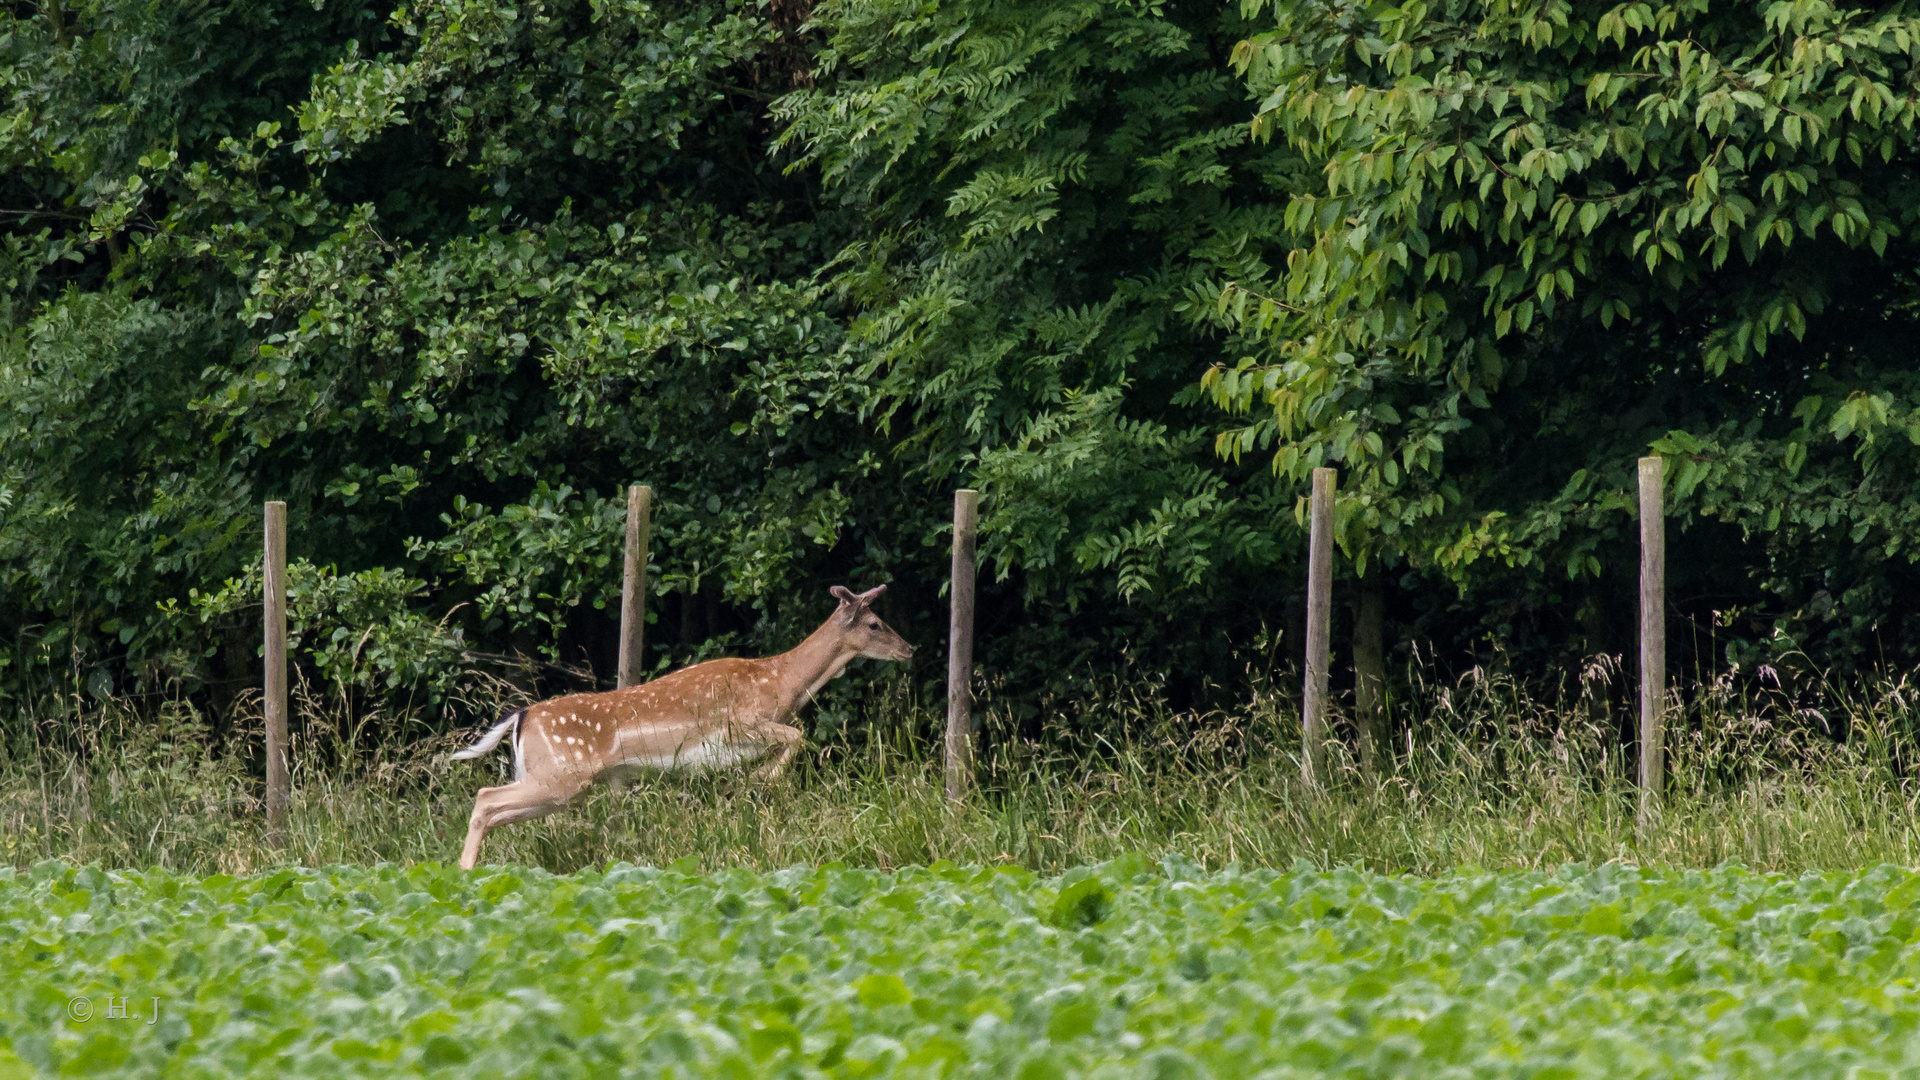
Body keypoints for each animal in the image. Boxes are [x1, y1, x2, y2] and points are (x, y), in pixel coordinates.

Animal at [449, 580, 913, 864]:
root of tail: (522, 715)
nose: (910, 648)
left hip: (556, 784)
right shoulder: (741, 723)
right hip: (563, 773)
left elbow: (791, 742)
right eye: (875, 623)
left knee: (497, 811)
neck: (782, 682)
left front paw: (752, 783)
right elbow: (797, 736)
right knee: (485, 798)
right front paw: (761, 777)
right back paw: (462, 875)